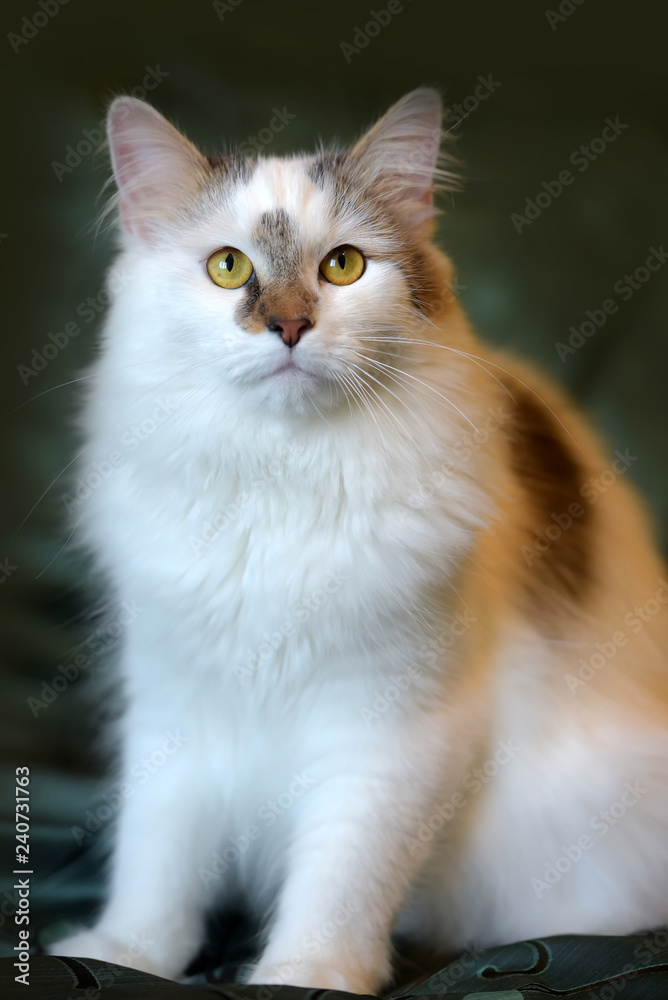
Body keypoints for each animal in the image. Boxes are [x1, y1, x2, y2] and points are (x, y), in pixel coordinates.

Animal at [51, 88, 668, 992]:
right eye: (228, 267)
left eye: (343, 267)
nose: (289, 326)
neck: (282, 482)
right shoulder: (175, 704)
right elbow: (156, 863)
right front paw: (125, 955)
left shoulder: (389, 731)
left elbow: (340, 882)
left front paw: (303, 976)